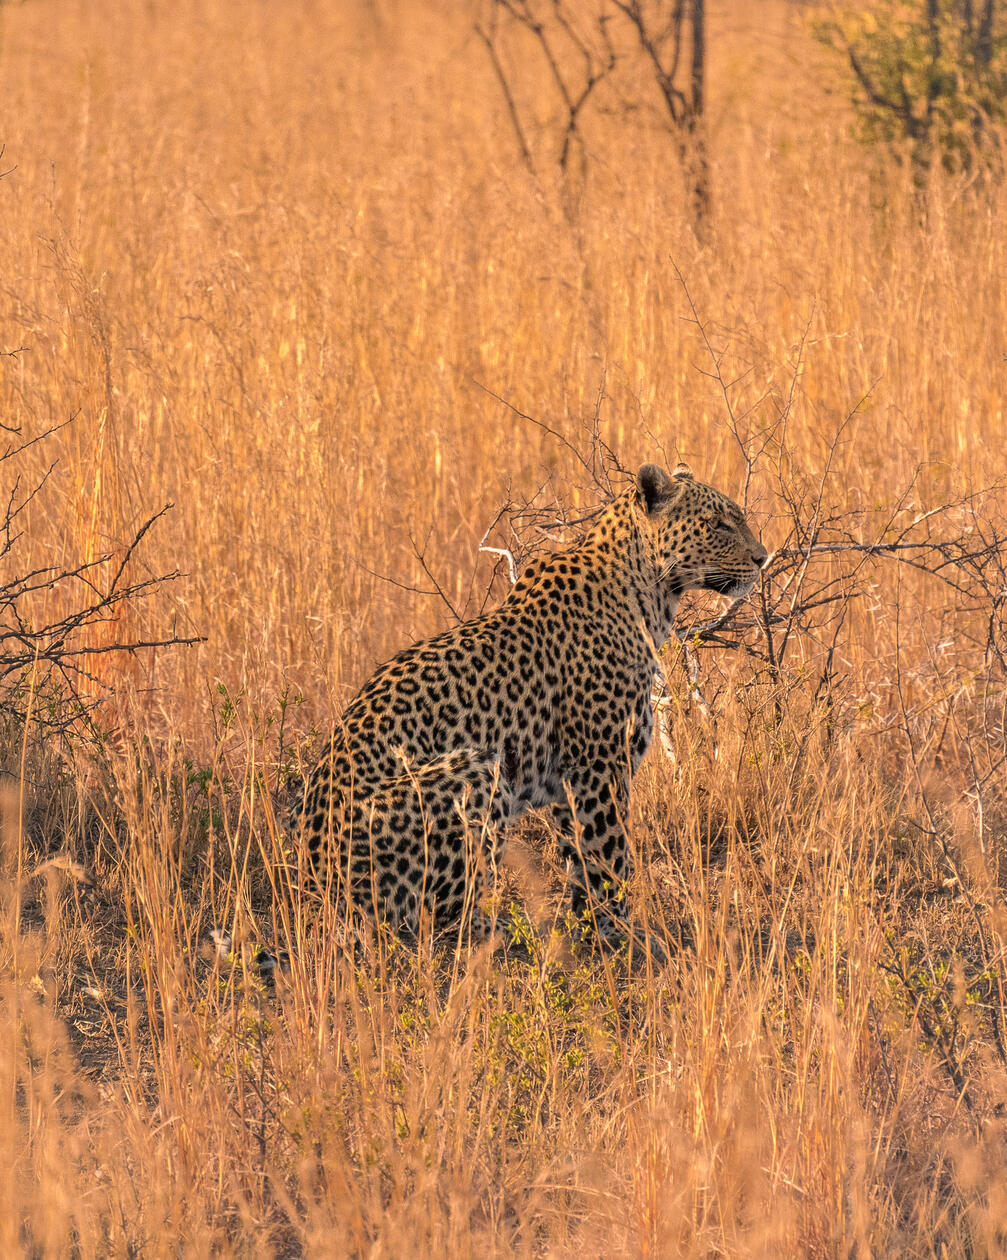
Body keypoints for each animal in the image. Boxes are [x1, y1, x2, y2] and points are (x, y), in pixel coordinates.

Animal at [293, 461, 767, 946]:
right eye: (718, 524)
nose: (762, 558)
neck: (650, 594)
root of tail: (312, 888)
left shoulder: (571, 779)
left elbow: (582, 856)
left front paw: (590, 927)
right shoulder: (599, 764)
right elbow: (609, 853)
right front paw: (621, 934)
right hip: (477, 769)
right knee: (445, 919)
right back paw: (510, 933)